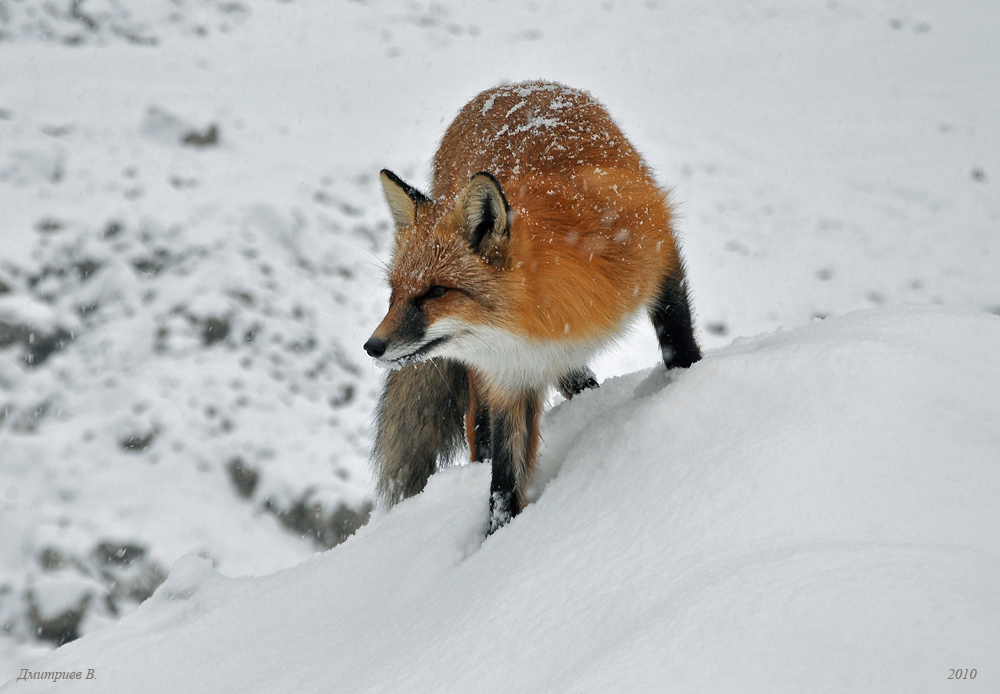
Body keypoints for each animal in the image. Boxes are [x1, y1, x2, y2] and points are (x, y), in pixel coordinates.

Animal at [364, 83, 700, 540]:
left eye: (436, 291)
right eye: (394, 294)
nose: (372, 346)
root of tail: (505, 88)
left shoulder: (658, 252)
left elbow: (676, 338)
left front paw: (690, 381)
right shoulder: (509, 377)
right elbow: (504, 482)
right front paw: (499, 540)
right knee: (486, 428)